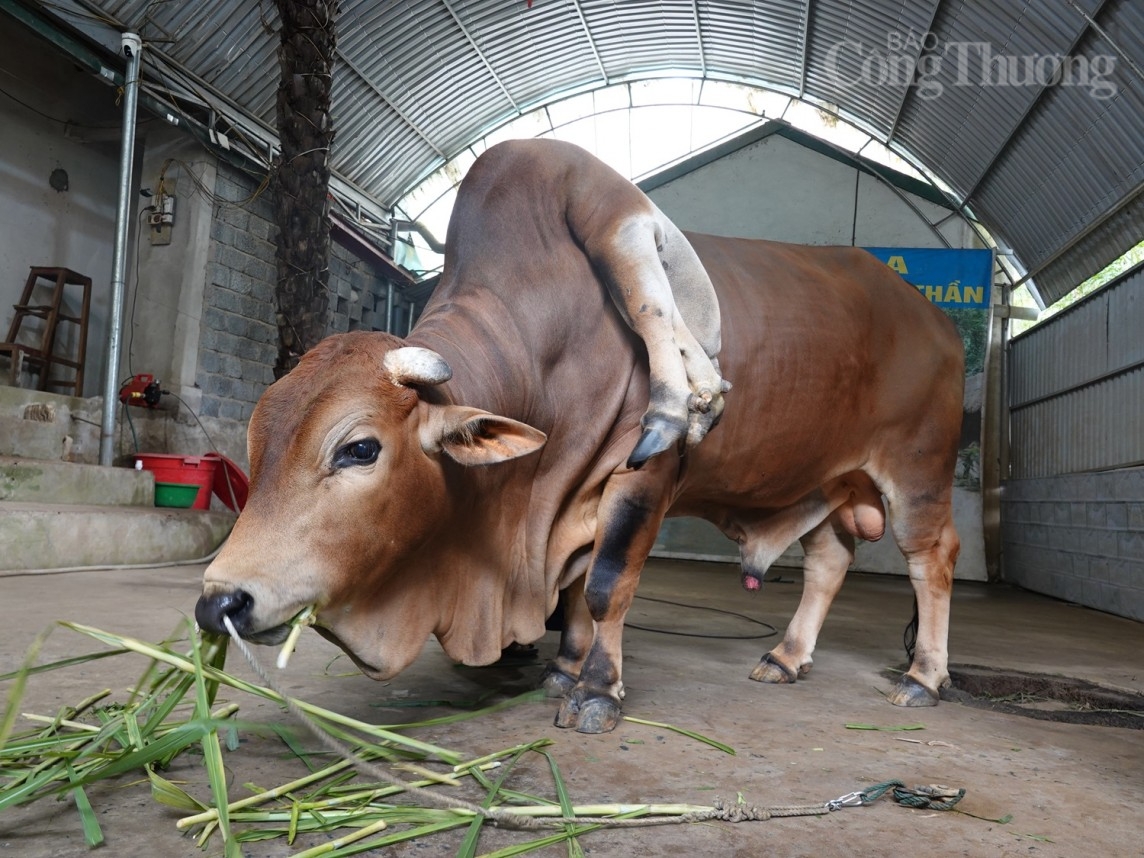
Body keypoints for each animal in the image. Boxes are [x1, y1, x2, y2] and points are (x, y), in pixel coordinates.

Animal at [196, 137, 965, 736]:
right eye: (255, 447)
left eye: (359, 449)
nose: (219, 603)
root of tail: (936, 318)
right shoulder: (567, 497)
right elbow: (569, 593)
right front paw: (565, 670)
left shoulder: (640, 479)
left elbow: (604, 585)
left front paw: (597, 691)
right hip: (829, 479)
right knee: (830, 560)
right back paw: (785, 657)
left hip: (916, 468)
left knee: (931, 559)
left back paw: (923, 677)